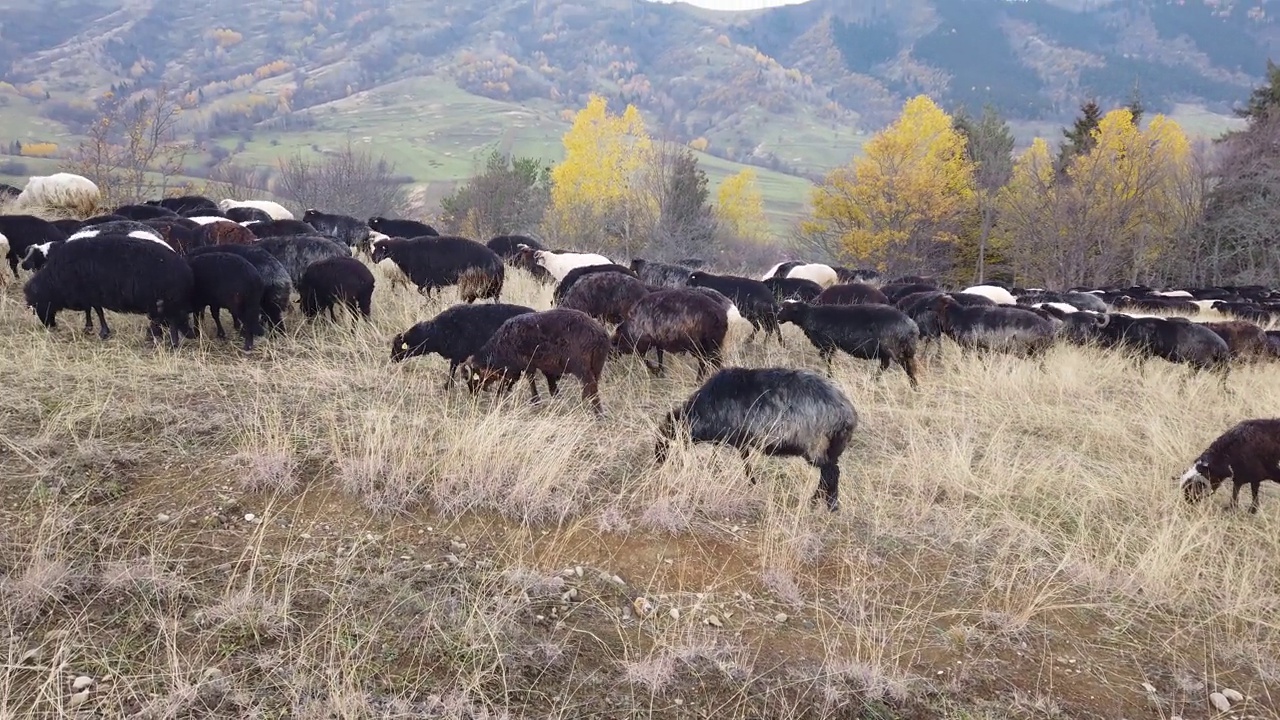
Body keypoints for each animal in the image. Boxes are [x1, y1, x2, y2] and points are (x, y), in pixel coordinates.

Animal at [21, 234, 193, 345]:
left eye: (36, 306)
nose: (49, 326)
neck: (54, 281)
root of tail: (185, 270)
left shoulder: (90, 294)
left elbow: (97, 311)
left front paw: (101, 332)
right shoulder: (89, 296)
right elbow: (92, 311)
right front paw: (90, 328)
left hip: (166, 298)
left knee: (171, 319)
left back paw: (171, 343)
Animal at [368, 237, 501, 301]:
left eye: (380, 249)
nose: (373, 259)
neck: (405, 251)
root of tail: (497, 261)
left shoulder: (426, 280)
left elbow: (422, 292)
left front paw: (431, 302)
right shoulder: (432, 283)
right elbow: (430, 293)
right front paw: (433, 302)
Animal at [386, 299, 532, 384]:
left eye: (397, 347)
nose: (391, 359)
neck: (436, 331)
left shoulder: (457, 356)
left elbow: (452, 370)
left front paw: (447, 386)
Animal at [650, 363, 860, 509]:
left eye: (662, 444)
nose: (657, 464)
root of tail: (847, 414)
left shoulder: (737, 438)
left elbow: (744, 463)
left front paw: (751, 482)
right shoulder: (736, 440)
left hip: (816, 445)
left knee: (831, 473)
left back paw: (828, 505)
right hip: (830, 448)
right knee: (828, 474)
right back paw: (818, 502)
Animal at [778, 297, 921, 386]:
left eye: (786, 308)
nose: (778, 317)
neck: (808, 315)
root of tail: (912, 327)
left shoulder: (827, 344)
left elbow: (827, 360)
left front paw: (830, 376)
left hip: (893, 348)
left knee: (907, 367)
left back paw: (914, 386)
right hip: (890, 350)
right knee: (886, 365)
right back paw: (874, 380)